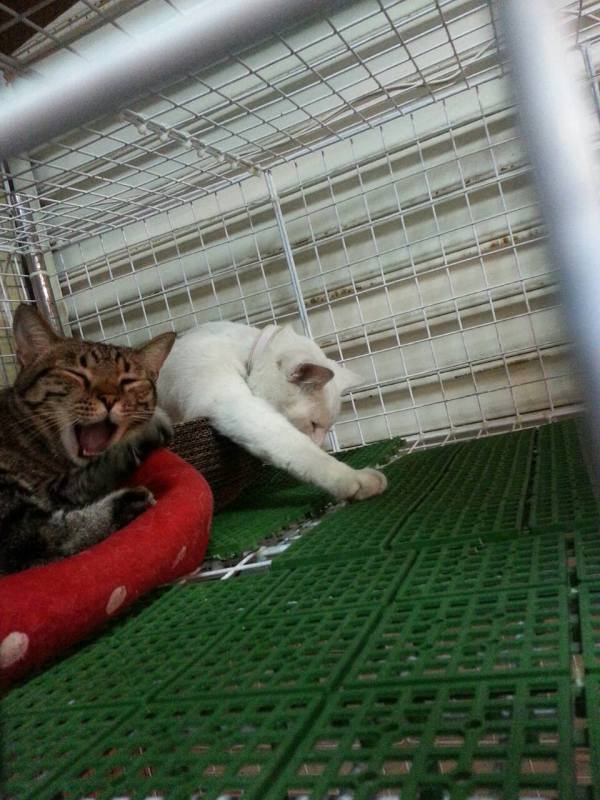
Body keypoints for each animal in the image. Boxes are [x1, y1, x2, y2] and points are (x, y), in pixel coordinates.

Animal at [0, 304, 175, 574]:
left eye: (129, 381)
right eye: (77, 374)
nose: (109, 398)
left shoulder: (52, 486)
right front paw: (146, 432)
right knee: (41, 539)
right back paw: (126, 502)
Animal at [158, 321, 387, 500]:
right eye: (313, 424)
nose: (319, 444)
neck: (246, 353)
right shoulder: (236, 404)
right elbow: (298, 448)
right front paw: (354, 478)